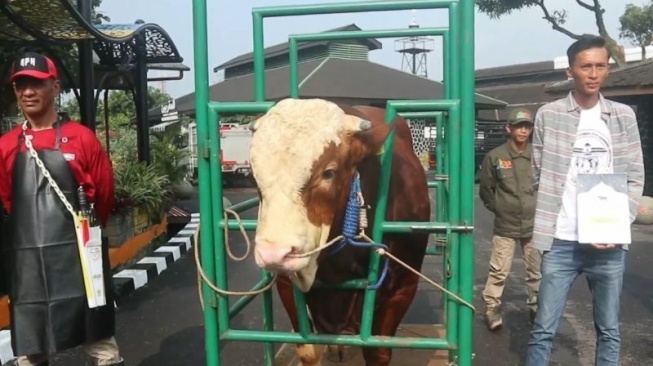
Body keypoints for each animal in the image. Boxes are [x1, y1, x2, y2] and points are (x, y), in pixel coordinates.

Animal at [248, 98, 428, 366]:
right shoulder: (285, 284)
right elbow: (308, 350)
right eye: (253, 175)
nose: (273, 254)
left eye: (329, 173)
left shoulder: (402, 287)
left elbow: (377, 353)